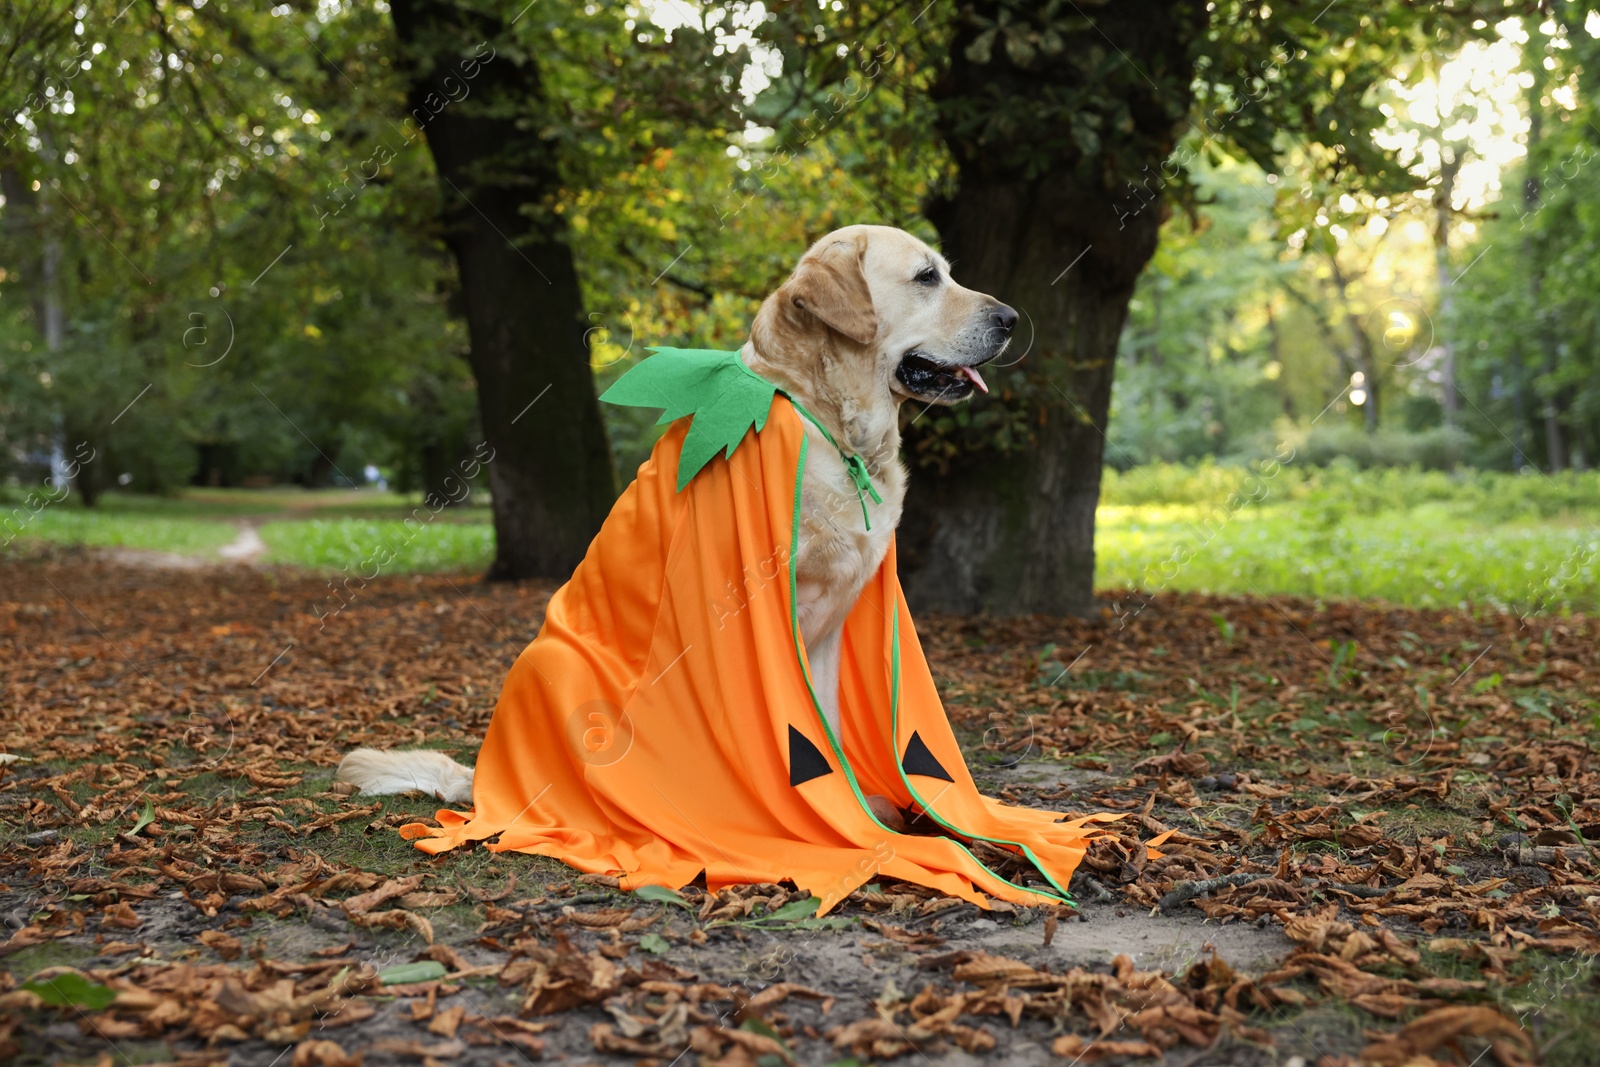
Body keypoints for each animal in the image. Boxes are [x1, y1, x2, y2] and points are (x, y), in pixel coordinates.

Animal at [336, 225, 1011, 809]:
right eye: (926, 277)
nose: (1011, 319)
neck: (828, 424)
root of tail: (481, 780)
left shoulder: (829, 629)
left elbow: (827, 729)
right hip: (553, 662)